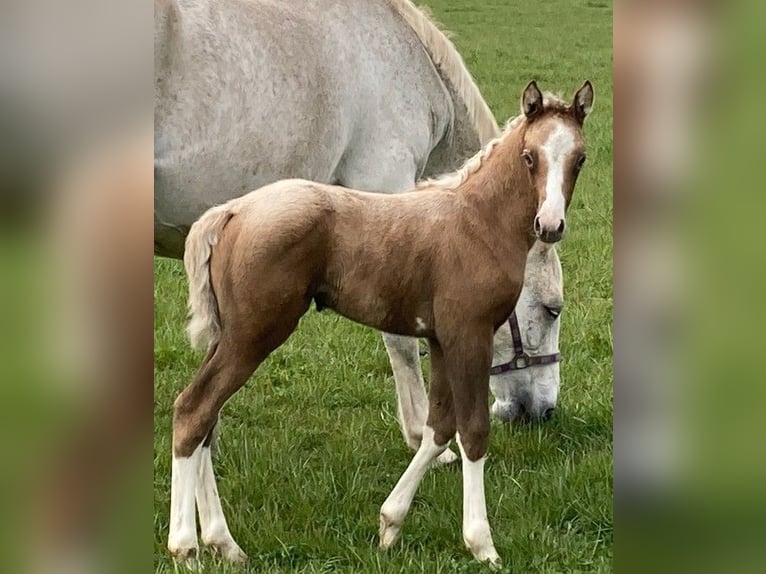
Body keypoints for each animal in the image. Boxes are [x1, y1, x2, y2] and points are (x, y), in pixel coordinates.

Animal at [168, 80, 596, 568]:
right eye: (529, 157)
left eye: (579, 158)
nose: (550, 224)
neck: (477, 222)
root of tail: (231, 211)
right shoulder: (469, 336)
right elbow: (472, 432)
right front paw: (481, 543)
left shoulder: (441, 340)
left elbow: (438, 430)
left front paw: (390, 524)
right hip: (253, 335)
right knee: (194, 411)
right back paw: (186, 546)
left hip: (229, 338)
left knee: (205, 420)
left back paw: (223, 542)